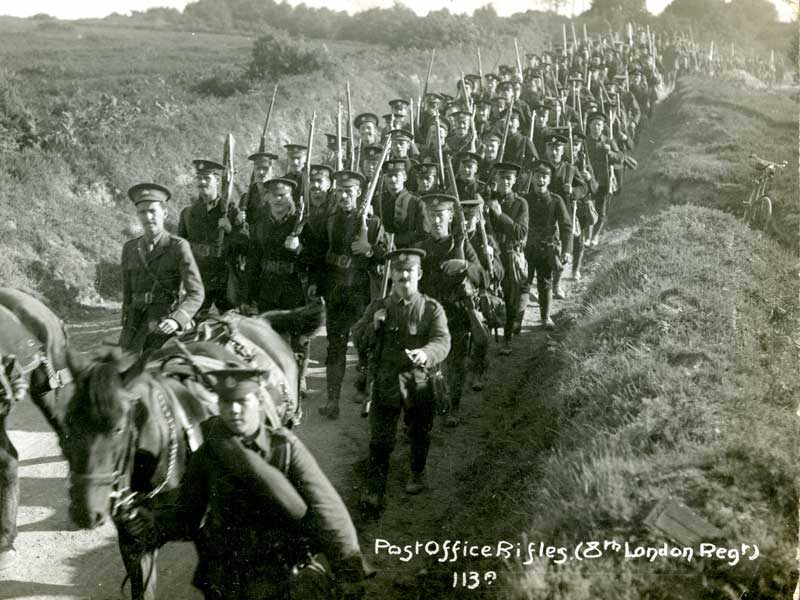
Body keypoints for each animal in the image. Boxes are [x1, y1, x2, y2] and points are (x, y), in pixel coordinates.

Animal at [62, 304, 324, 600]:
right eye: (67, 423)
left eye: (119, 428)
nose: (85, 511)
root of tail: (256, 320)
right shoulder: (134, 543)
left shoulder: (211, 544)